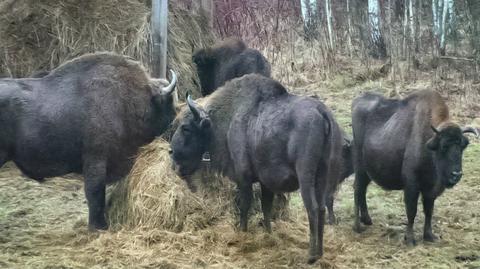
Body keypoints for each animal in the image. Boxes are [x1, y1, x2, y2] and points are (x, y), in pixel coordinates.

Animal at [0, 52, 178, 230]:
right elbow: (95, 192)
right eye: (169, 104)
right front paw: (99, 226)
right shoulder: (96, 159)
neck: (129, 98)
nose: (175, 122)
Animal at [169, 73, 344, 262]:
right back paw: (320, 252)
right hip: (323, 176)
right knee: (321, 208)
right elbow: (266, 207)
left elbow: (245, 204)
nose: (171, 151)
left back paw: (311, 255)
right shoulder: (266, 183)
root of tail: (322, 113)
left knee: (312, 208)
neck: (228, 119)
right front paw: (268, 234)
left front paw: (242, 231)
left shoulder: (243, 178)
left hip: (306, 177)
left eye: (186, 128)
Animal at [350, 89, 478, 244]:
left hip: (367, 172)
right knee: (358, 189)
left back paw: (367, 220)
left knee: (362, 190)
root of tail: (358, 101)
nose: (456, 175)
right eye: (444, 146)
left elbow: (429, 211)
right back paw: (358, 226)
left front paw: (430, 236)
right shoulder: (412, 185)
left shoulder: (430, 190)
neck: (428, 144)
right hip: (360, 168)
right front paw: (410, 239)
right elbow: (412, 211)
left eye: (462, 147)